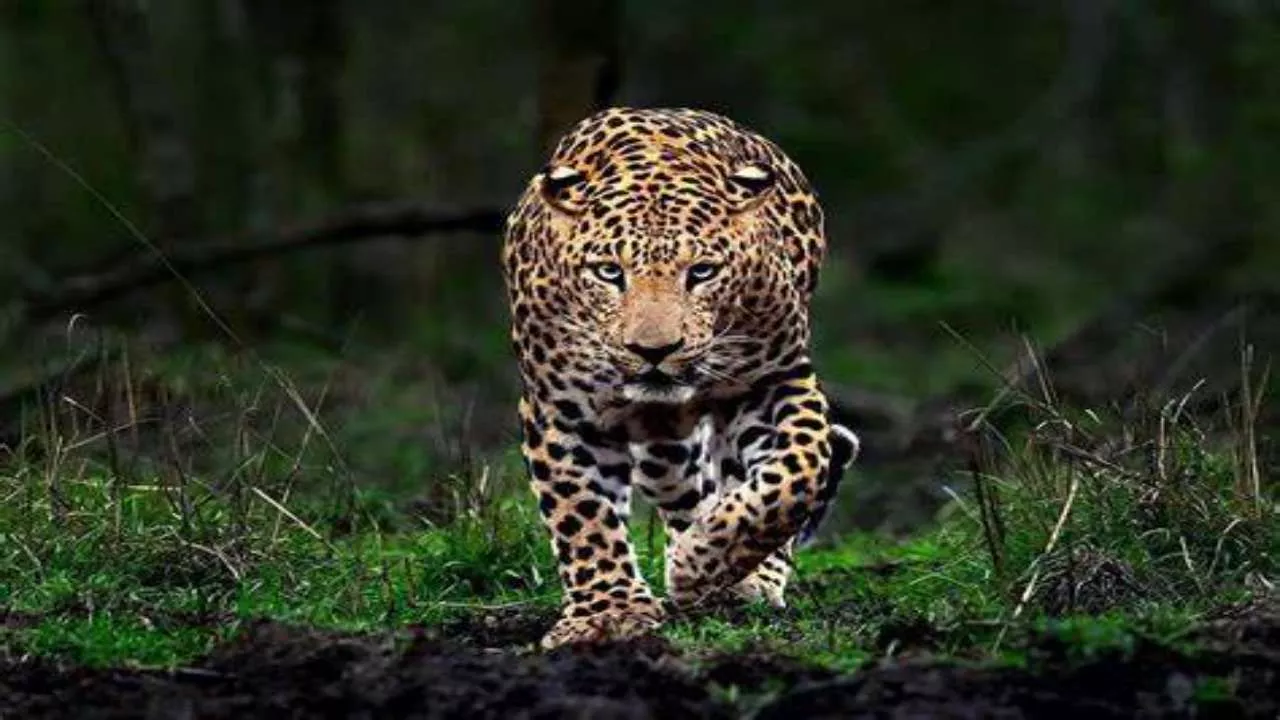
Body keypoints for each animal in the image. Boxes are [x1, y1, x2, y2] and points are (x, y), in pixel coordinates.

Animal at [501, 106, 861, 649]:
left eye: (703, 272)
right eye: (609, 272)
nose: (653, 350)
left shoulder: (776, 379)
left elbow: (797, 472)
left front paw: (703, 563)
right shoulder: (559, 409)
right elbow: (582, 515)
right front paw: (607, 614)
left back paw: (741, 577)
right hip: (663, 448)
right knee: (685, 488)